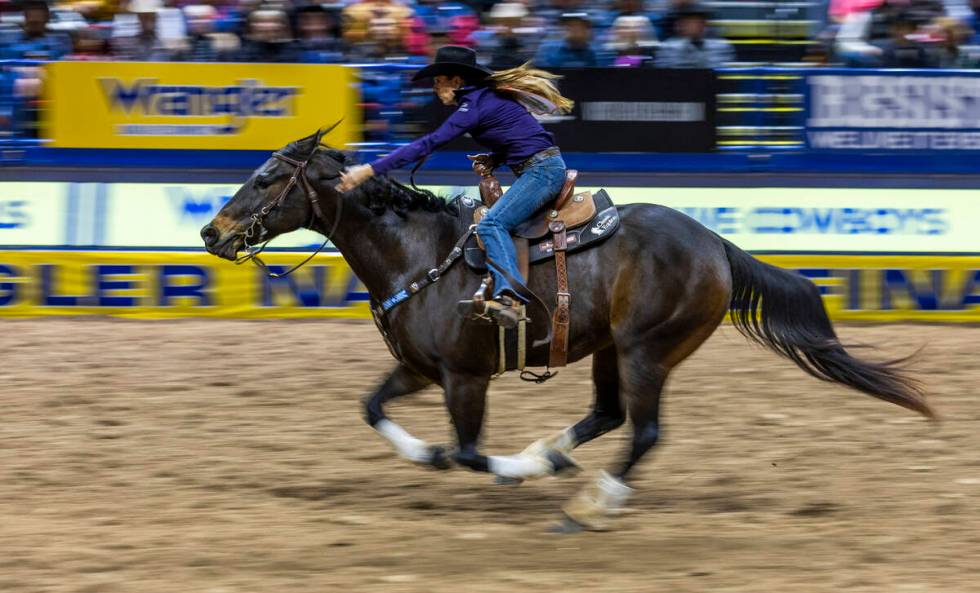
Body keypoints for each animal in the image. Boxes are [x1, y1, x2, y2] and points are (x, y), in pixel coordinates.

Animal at [199, 128, 936, 528]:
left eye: (265, 177)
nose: (211, 232)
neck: (418, 251)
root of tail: (716, 243)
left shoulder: (464, 378)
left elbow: (468, 451)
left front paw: (502, 469)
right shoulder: (418, 368)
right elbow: (372, 406)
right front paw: (439, 456)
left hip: (646, 349)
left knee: (643, 431)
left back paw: (587, 504)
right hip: (612, 348)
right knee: (609, 415)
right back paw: (550, 455)